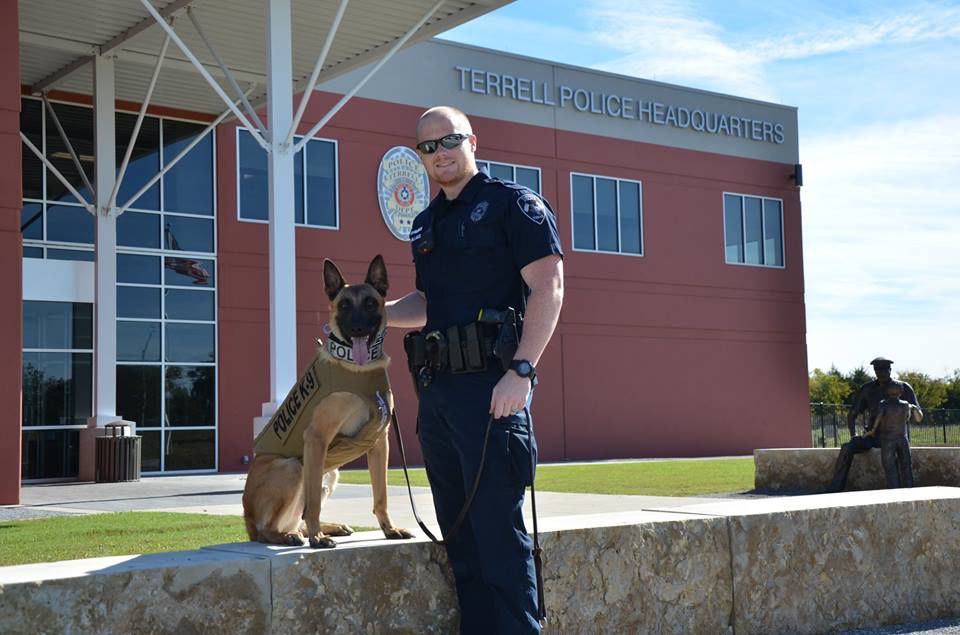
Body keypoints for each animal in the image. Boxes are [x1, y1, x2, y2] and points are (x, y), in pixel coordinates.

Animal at [240, 256, 412, 548]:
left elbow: (381, 496)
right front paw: (317, 537)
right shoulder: (316, 438)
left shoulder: (380, 442)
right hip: (293, 467)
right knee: (269, 528)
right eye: (344, 305)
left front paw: (389, 530)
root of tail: (247, 519)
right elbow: (312, 504)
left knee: (297, 518)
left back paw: (326, 528)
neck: (356, 367)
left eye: (370, 303)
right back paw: (289, 536)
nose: (357, 328)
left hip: (330, 473)